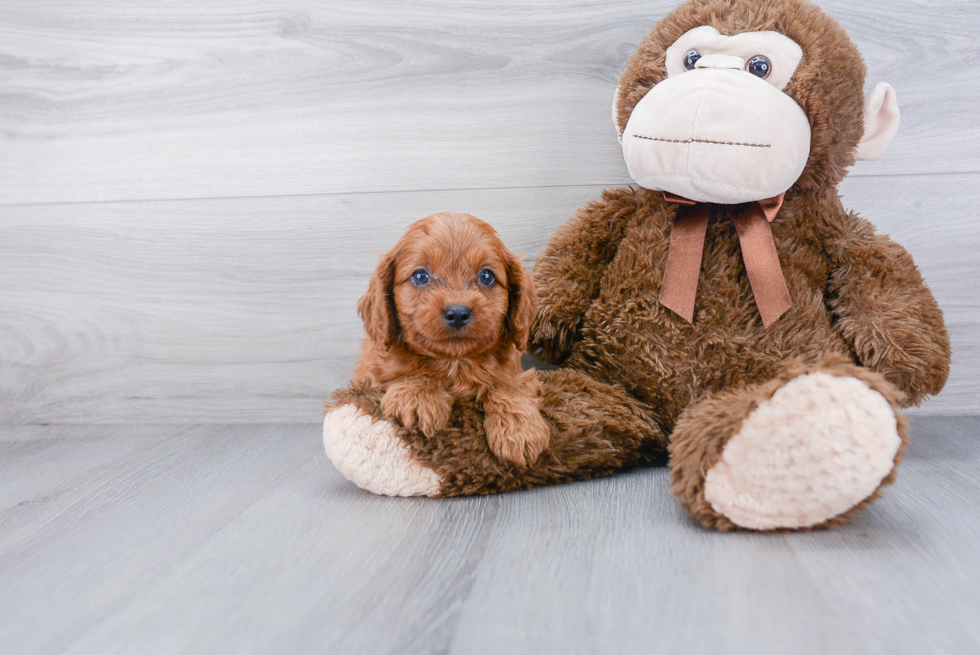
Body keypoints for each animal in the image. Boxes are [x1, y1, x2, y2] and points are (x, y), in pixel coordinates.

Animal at [354, 211, 556, 466]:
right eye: (420, 276)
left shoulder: (516, 372)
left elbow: (508, 385)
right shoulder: (371, 376)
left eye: (486, 276)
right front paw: (417, 395)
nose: (458, 313)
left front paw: (518, 429)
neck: (455, 362)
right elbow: (406, 371)